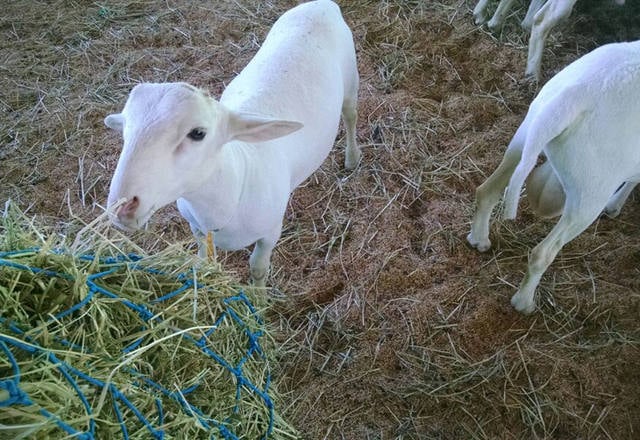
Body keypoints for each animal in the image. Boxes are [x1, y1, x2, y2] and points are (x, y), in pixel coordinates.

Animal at [107, 0, 362, 288]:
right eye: (124, 131)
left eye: (198, 133)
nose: (122, 207)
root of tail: (321, 5)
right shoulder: (196, 227)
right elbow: (204, 259)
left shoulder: (270, 232)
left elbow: (258, 269)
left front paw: (258, 298)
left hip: (350, 80)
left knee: (351, 116)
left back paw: (352, 158)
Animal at [464, 40, 640, 312]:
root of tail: (575, 98)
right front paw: (615, 206)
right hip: (590, 192)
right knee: (542, 253)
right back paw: (523, 303)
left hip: (527, 132)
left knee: (487, 191)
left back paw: (478, 239)